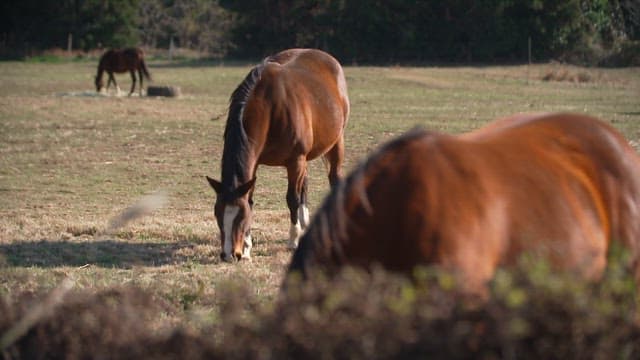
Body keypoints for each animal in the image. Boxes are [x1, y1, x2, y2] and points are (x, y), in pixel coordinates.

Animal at [206, 48, 350, 262]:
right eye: (217, 213)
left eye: (241, 216)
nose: (229, 255)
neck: (270, 107)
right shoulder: (257, 162)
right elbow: (252, 198)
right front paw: (247, 248)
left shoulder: (295, 160)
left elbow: (292, 199)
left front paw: (293, 241)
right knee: (304, 185)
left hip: (335, 142)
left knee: (333, 178)